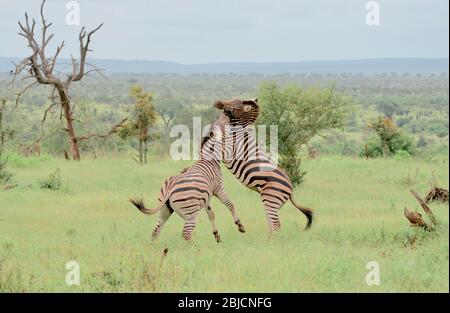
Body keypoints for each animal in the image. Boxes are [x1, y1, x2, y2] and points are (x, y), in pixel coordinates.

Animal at [211, 98, 312, 234]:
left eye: (234, 105)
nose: (216, 102)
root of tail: (291, 189)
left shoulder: (227, 150)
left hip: (270, 197)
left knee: (275, 224)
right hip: (272, 201)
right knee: (273, 223)